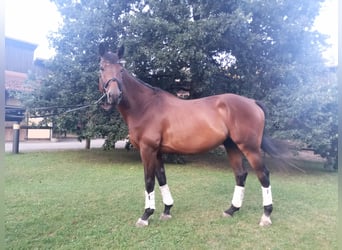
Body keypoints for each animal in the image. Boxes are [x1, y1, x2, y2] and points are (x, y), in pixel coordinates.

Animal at [99, 44, 284, 228]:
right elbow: (162, 178)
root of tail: (252, 102)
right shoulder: (157, 152)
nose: (113, 96)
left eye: (121, 70)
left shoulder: (147, 150)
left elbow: (149, 181)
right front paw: (167, 210)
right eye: (101, 68)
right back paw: (231, 210)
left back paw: (266, 215)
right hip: (231, 146)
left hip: (250, 148)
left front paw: (145, 216)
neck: (145, 106)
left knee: (263, 175)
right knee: (240, 174)